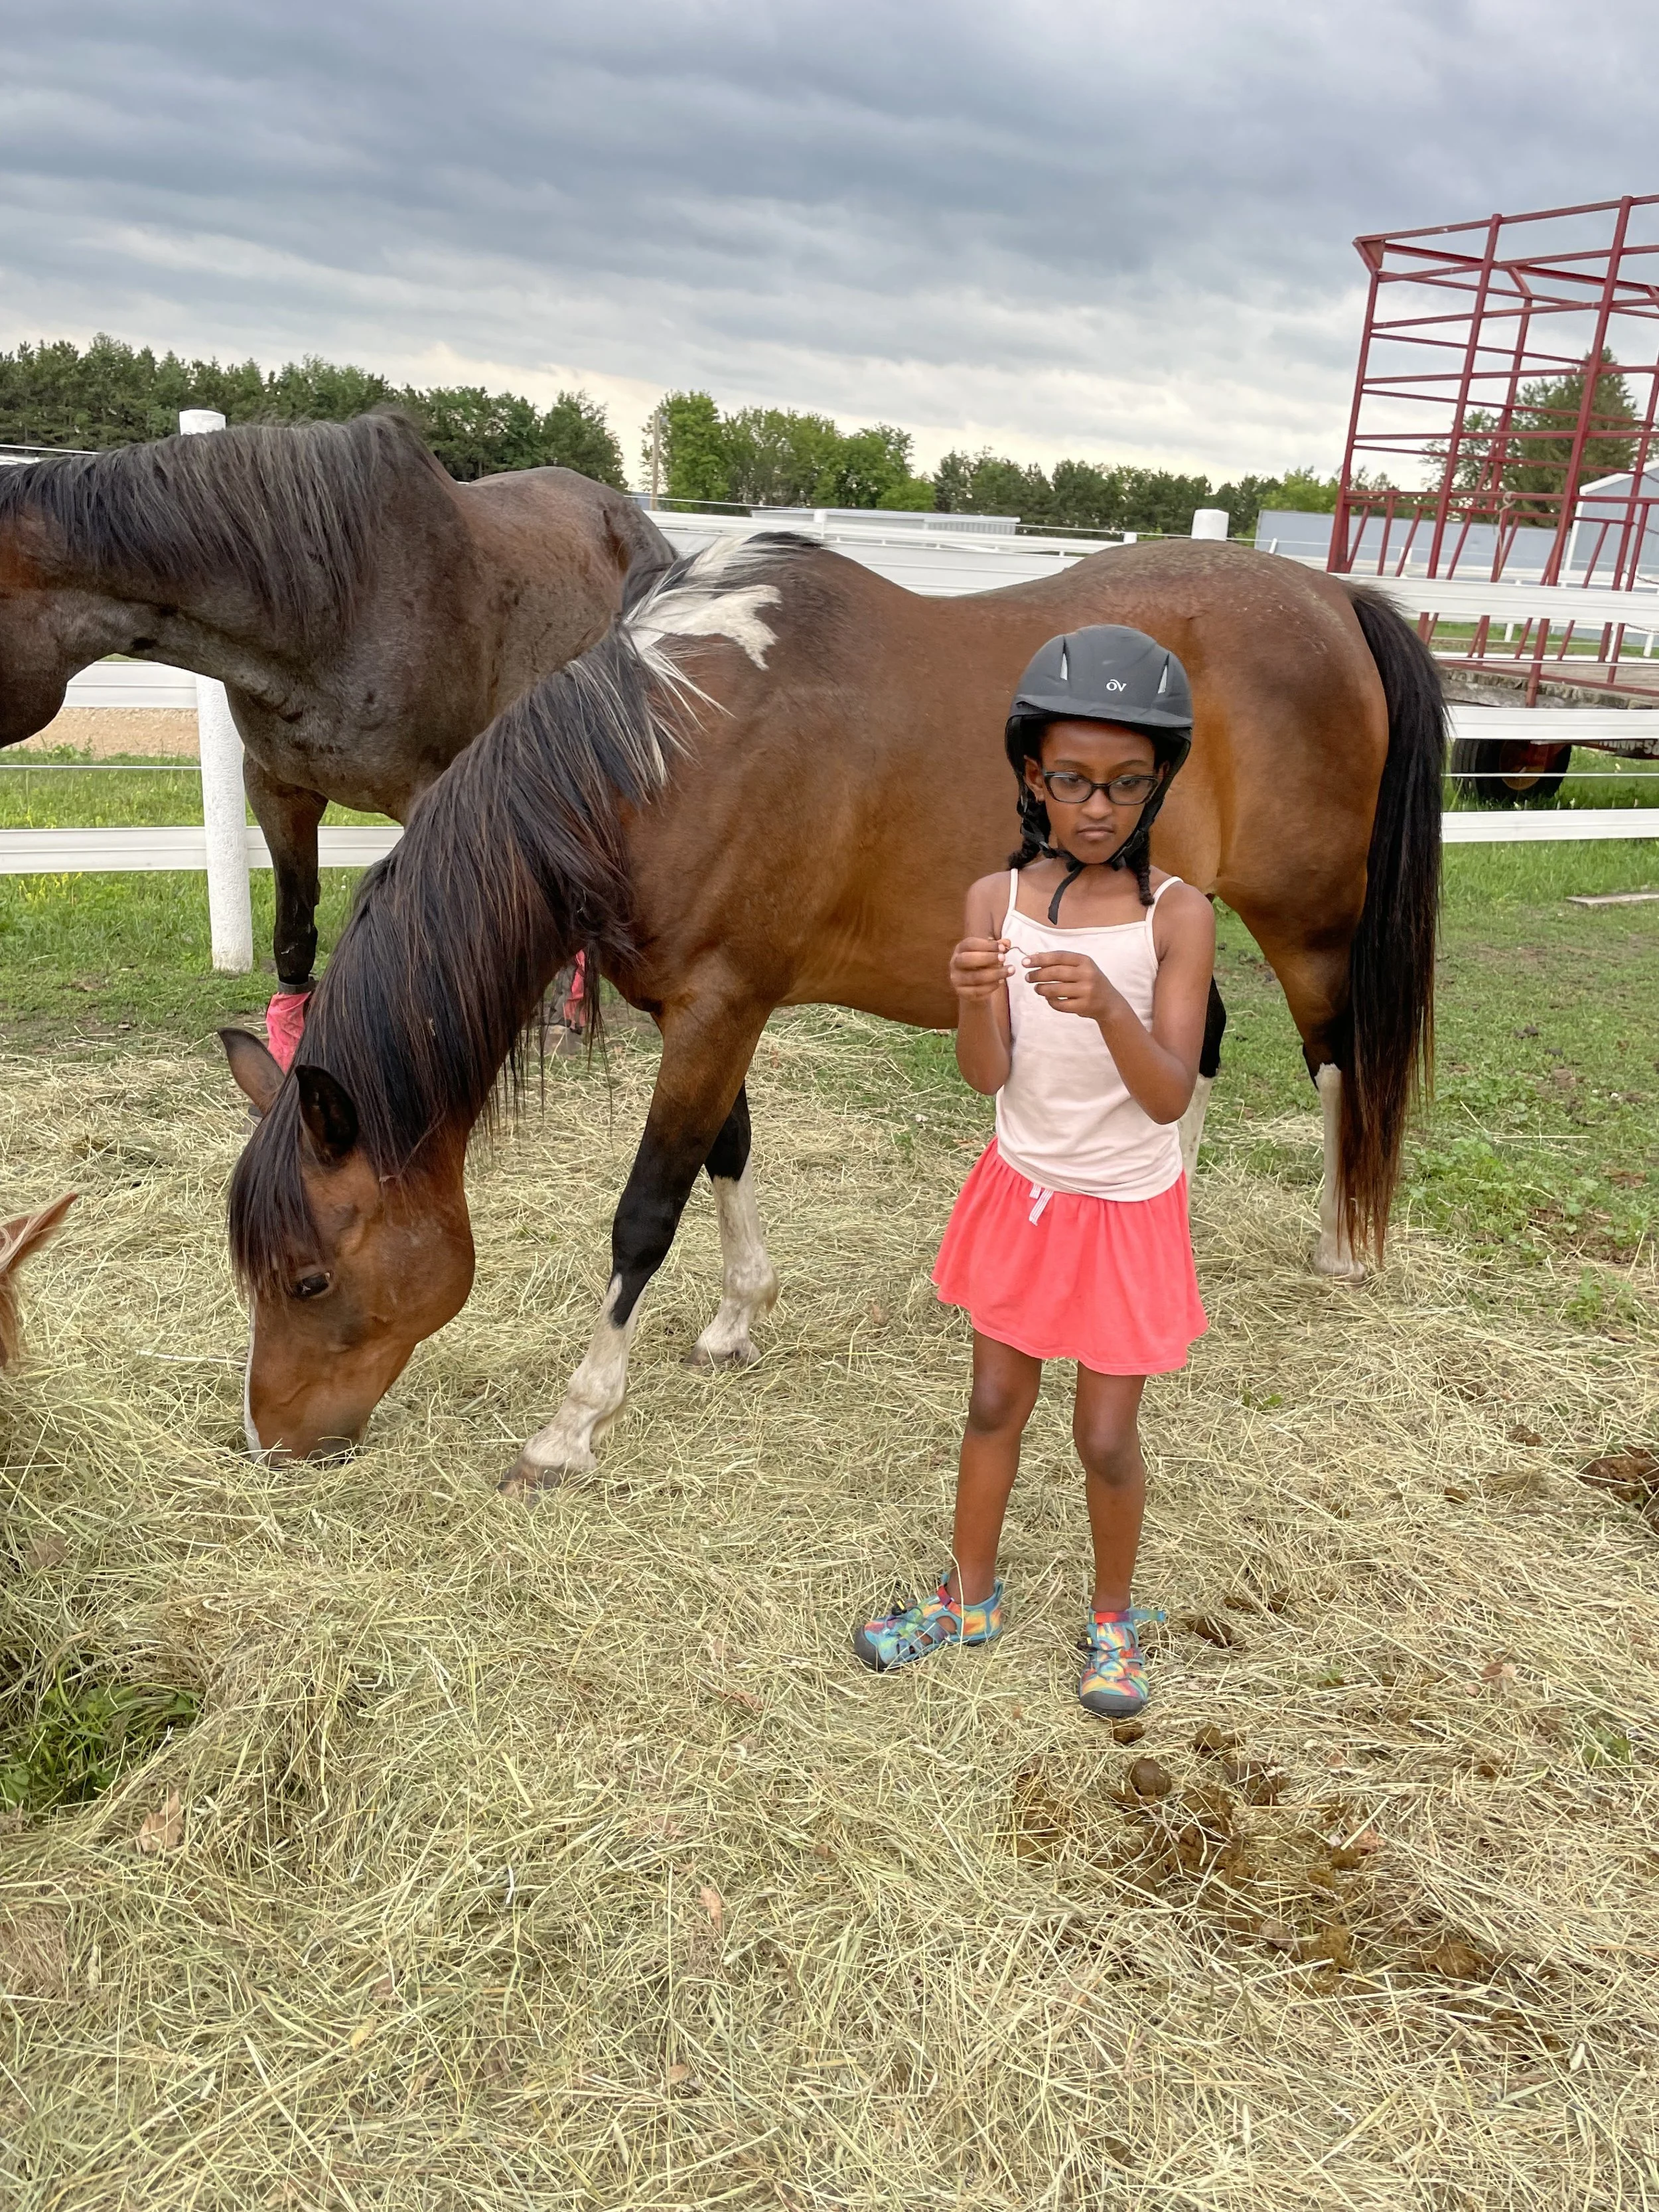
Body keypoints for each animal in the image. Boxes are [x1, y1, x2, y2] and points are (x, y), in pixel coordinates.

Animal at [219, 532, 1445, 1473]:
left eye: (310, 1276)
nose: (272, 1441)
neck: (660, 759)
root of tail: (1337, 597)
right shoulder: (703, 1008)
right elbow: (727, 1150)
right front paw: (735, 1318)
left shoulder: (719, 1007)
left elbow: (646, 1210)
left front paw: (573, 1424)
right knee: (1199, 1047)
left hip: (1309, 924)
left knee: (1334, 1056)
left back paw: (1340, 1243)